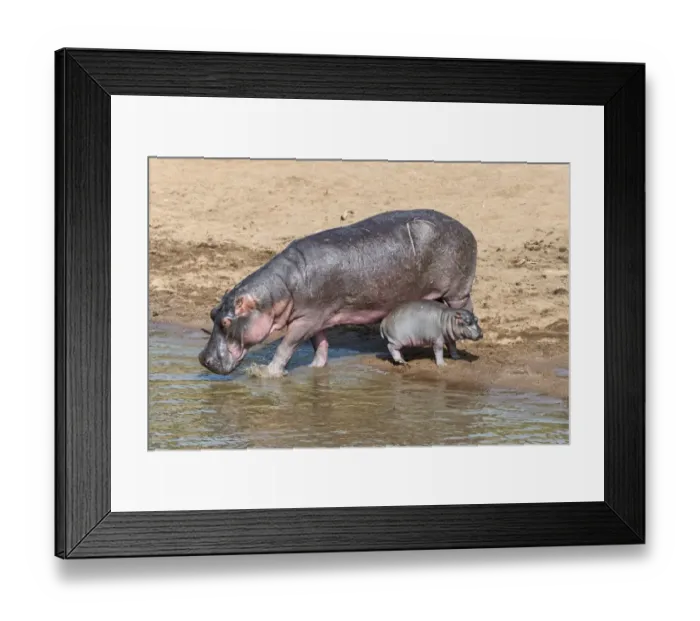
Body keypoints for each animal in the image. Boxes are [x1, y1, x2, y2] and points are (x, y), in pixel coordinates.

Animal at [199, 209, 477, 377]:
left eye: (226, 322)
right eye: (211, 313)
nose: (203, 359)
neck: (278, 292)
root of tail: (466, 228)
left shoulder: (305, 320)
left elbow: (286, 346)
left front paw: (269, 373)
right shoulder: (316, 317)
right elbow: (320, 344)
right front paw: (315, 368)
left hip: (458, 291)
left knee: (464, 310)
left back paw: (458, 350)